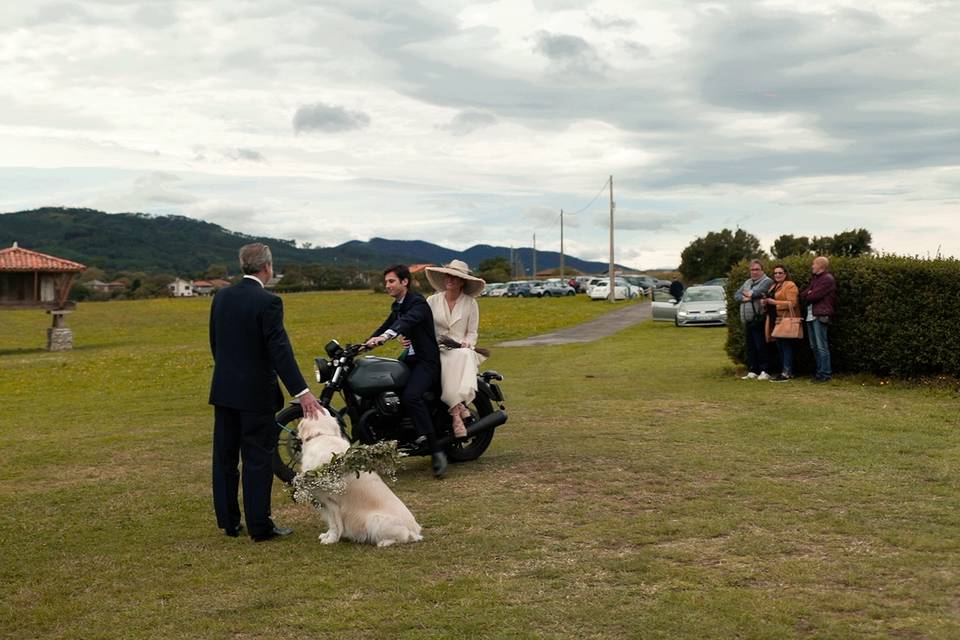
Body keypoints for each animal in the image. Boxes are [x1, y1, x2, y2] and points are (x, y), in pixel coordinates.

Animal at [296, 418, 424, 548]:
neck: (322, 435)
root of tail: (415, 530)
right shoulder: (323, 503)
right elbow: (330, 522)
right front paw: (326, 535)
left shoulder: (330, 502)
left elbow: (334, 525)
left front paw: (331, 539)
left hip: (375, 519)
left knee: (404, 537)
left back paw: (384, 542)